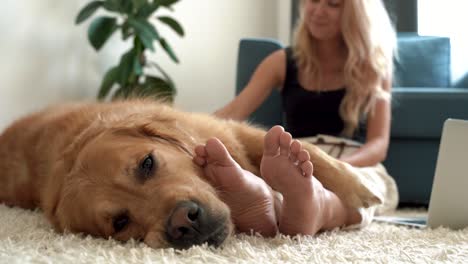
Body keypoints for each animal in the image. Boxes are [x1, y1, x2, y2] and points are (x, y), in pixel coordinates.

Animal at [0, 100, 380, 249]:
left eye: (147, 163)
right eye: (120, 223)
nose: (184, 221)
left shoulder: (231, 132)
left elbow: (314, 154)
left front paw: (358, 186)